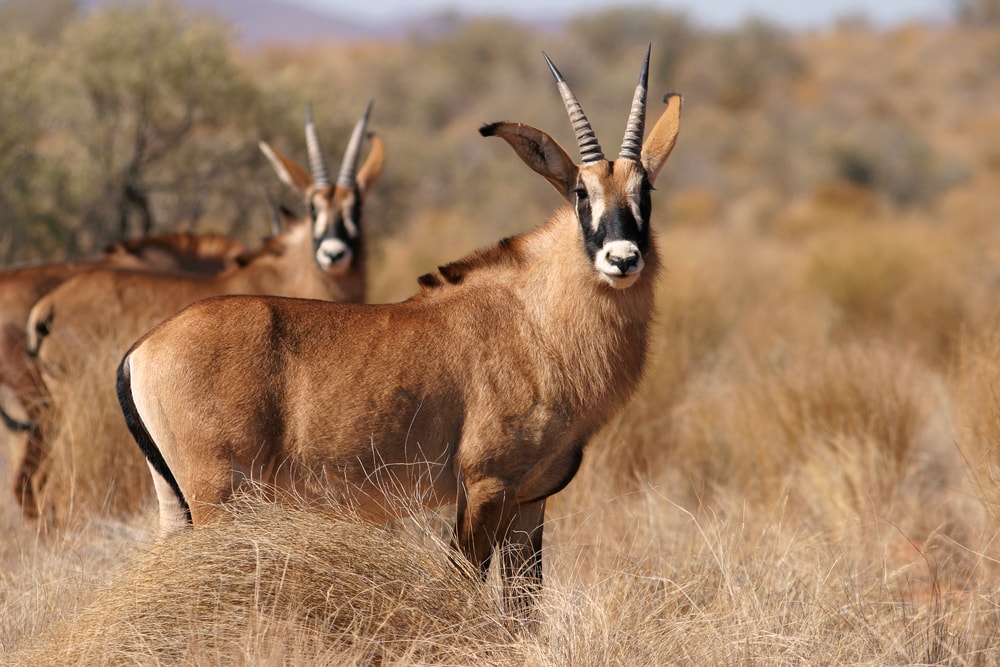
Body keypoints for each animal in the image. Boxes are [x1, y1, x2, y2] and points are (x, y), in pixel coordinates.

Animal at [117, 48, 681, 616]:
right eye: (581, 192)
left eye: (645, 190)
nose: (622, 259)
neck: (534, 319)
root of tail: (142, 349)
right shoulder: (484, 487)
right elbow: (464, 585)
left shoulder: (530, 500)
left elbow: (524, 608)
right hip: (217, 495)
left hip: (179, 504)